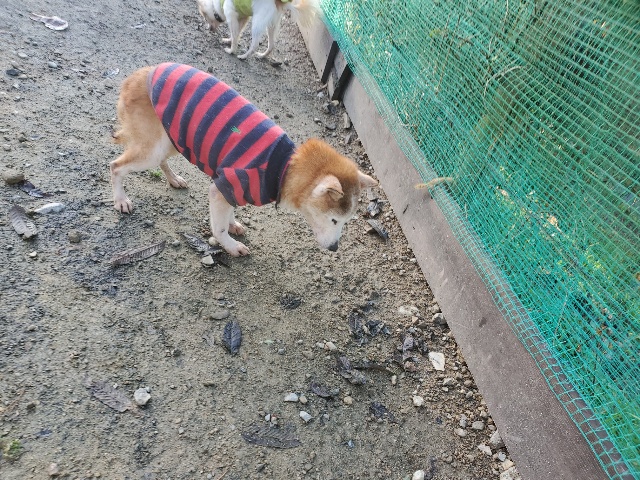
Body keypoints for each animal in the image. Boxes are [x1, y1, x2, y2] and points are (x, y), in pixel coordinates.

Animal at [110, 63, 377, 256]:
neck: (284, 167)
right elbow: (218, 227)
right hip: (154, 147)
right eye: (334, 220)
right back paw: (121, 200)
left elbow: (229, 212)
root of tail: (137, 75)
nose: (335, 248)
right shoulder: (227, 185)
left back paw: (173, 179)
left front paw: (232, 224)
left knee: (161, 160)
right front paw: (229, 245)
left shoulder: (230, 188)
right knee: (116, 166)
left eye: (346, 221)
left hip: (172, 139)